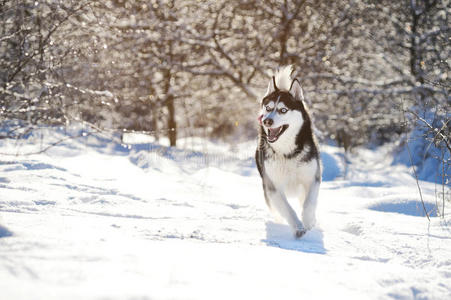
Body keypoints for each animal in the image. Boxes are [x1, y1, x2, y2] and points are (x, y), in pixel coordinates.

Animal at [258, 66, 322, 239]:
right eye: (268, 108)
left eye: (283, 110)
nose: (267, 121)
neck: (287, 153)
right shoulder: (273, 186)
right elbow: (287, 209)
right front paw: (298, 227)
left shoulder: (312, 178)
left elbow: (309, 203)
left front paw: (309, 221)